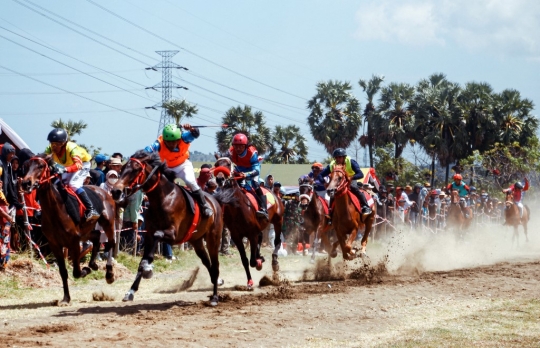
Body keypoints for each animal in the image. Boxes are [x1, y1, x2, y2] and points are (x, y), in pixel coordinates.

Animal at [20, 155, 116, 304]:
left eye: (41, 166)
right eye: (25, 166)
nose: (26, 183)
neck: (56, 210)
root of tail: (104, 191)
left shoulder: (74, 242)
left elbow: (76, 272)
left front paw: (85, 270)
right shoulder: (55, 244)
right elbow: (63, 272)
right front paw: (66, 298)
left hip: (107, 223)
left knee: (110, 243)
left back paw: (109, 274)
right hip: (85, 231)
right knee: (96, 237)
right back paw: (93, 264)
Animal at [112, 151, 224, 306]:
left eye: (136, 169)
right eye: (122, 169)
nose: (115, 192)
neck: (163, 198)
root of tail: (215, 202)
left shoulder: (173, 234)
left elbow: (157, 237)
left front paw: (148, 268)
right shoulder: (148, 235)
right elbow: (143, 259)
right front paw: (131, 291)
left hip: (213, 238)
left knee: (215, 264)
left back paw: (214, 297)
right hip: (196, 241)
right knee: (208, 263)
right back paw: (216, 282)